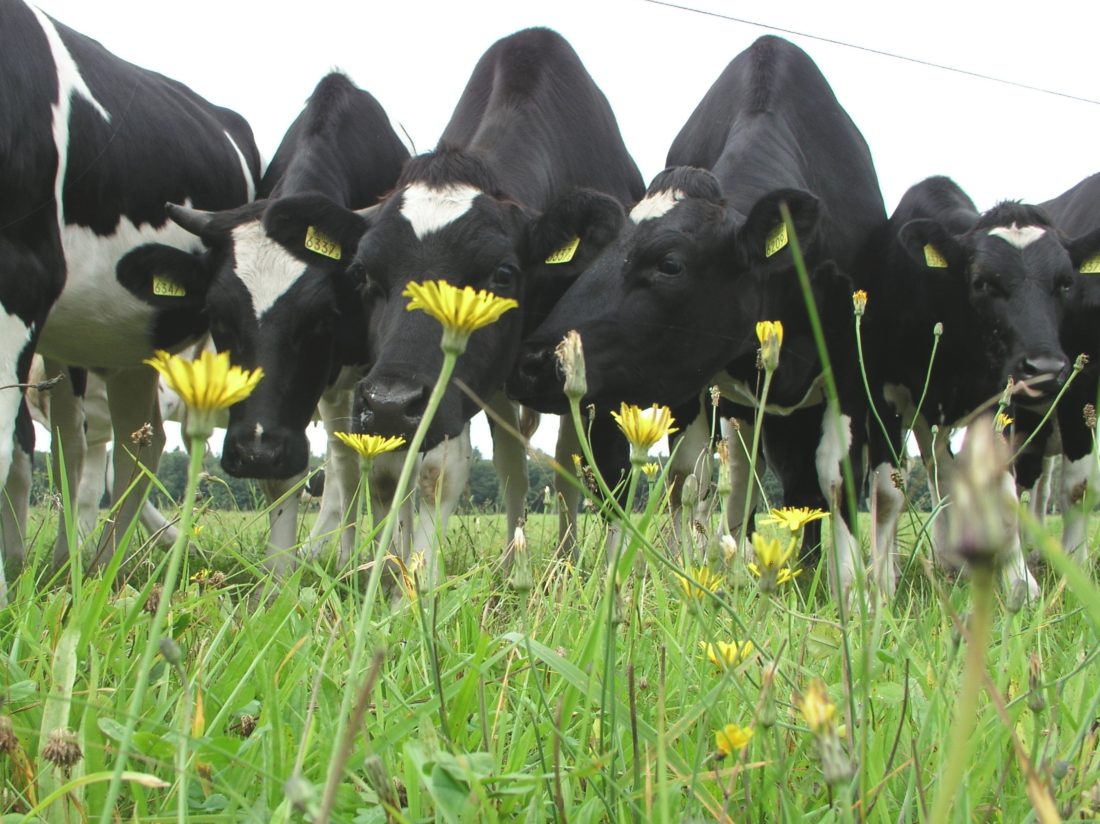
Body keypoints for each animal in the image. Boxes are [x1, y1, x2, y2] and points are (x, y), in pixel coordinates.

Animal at [264, 28, 642, 580]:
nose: (391, 402)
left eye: (502, 273)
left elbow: (598, 470)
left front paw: (600, 574)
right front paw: (403, 574)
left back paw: (558, 559)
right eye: (362, 274)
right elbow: (416, 472)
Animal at [506, 35, 884, 594]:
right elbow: (694, 480)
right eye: (598, 253)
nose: (531, 361)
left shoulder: (853, 369)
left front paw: (852, 594)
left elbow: (838, 480)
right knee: (728, 484)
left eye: (669, 264)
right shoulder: (692, 388)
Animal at [858, 174, 1100, 598]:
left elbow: (1003, 487)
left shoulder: (996, 400)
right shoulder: (884, 395)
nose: (1045, 368)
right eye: (983, 282)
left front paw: (1021, 582)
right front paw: (880, 587)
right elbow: (887, 493)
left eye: (1066, 284)